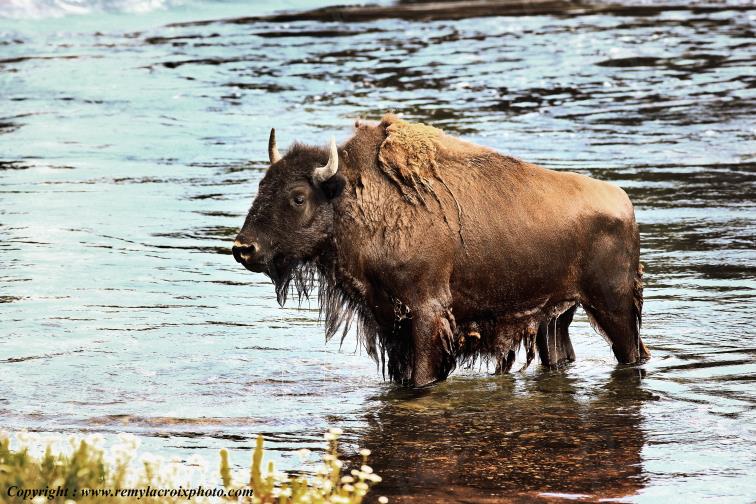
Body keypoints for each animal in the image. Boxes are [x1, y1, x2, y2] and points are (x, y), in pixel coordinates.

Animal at [233, 114, 649, 387]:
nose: (243, 248)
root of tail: (623, 202)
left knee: (631, 352)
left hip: (613, 308)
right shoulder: (390, 324)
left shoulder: (425, 314)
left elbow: (422, 375)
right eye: (262, 185)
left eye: (298, 196)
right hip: (557, 316)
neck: (353, 197)